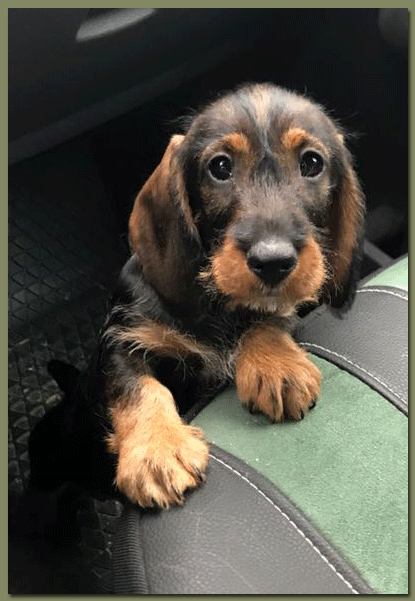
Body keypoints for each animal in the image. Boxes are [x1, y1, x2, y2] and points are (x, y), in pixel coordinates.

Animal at [30, 83, 364, 509]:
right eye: (219, 167)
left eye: (311, 163)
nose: (273, 262)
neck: (214, 304)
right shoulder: (121, 338)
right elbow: (138, 386)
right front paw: (157, 449)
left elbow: (267, 316)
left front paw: (276, 363)